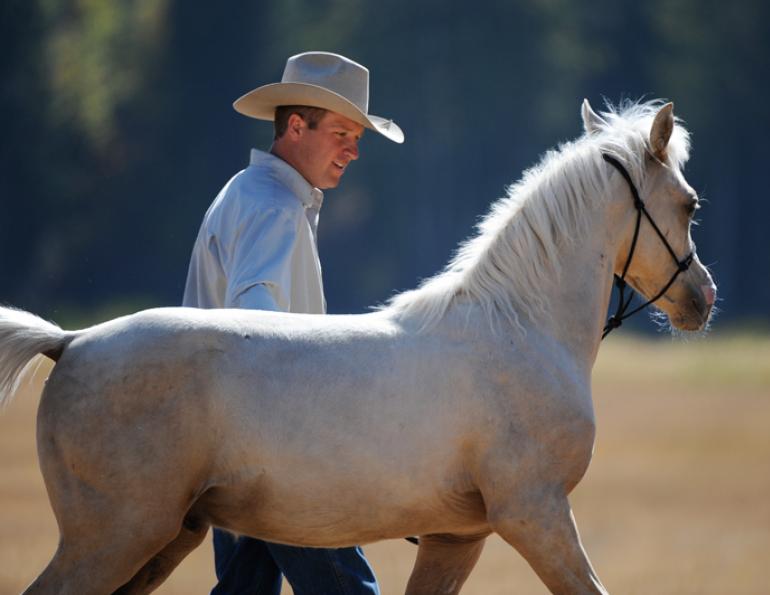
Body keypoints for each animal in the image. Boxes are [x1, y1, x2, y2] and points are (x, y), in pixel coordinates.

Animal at [0, 99, 715, 594]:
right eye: (689, 204)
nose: (703, 299)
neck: (517, 329)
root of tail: (72, 341)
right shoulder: (535, 514)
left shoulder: (457, 538)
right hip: (113, 537)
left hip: (166, 538)